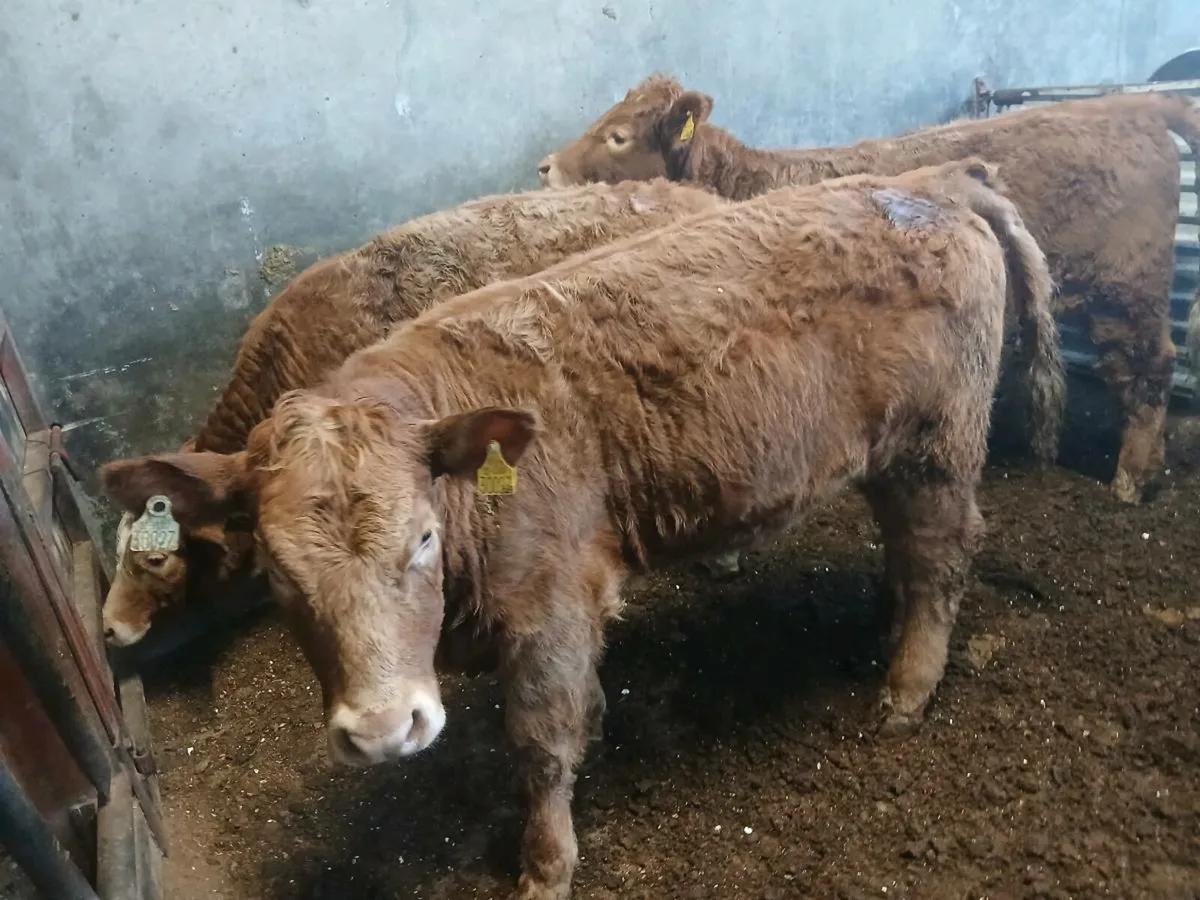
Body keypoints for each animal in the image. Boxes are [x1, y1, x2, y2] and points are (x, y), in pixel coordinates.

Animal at [538, 74, 1200, 505]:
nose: (545, 167)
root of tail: (1136, 106)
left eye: (619, 135)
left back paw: (1131, 479)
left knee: (1150, 365)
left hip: (1125, 287)